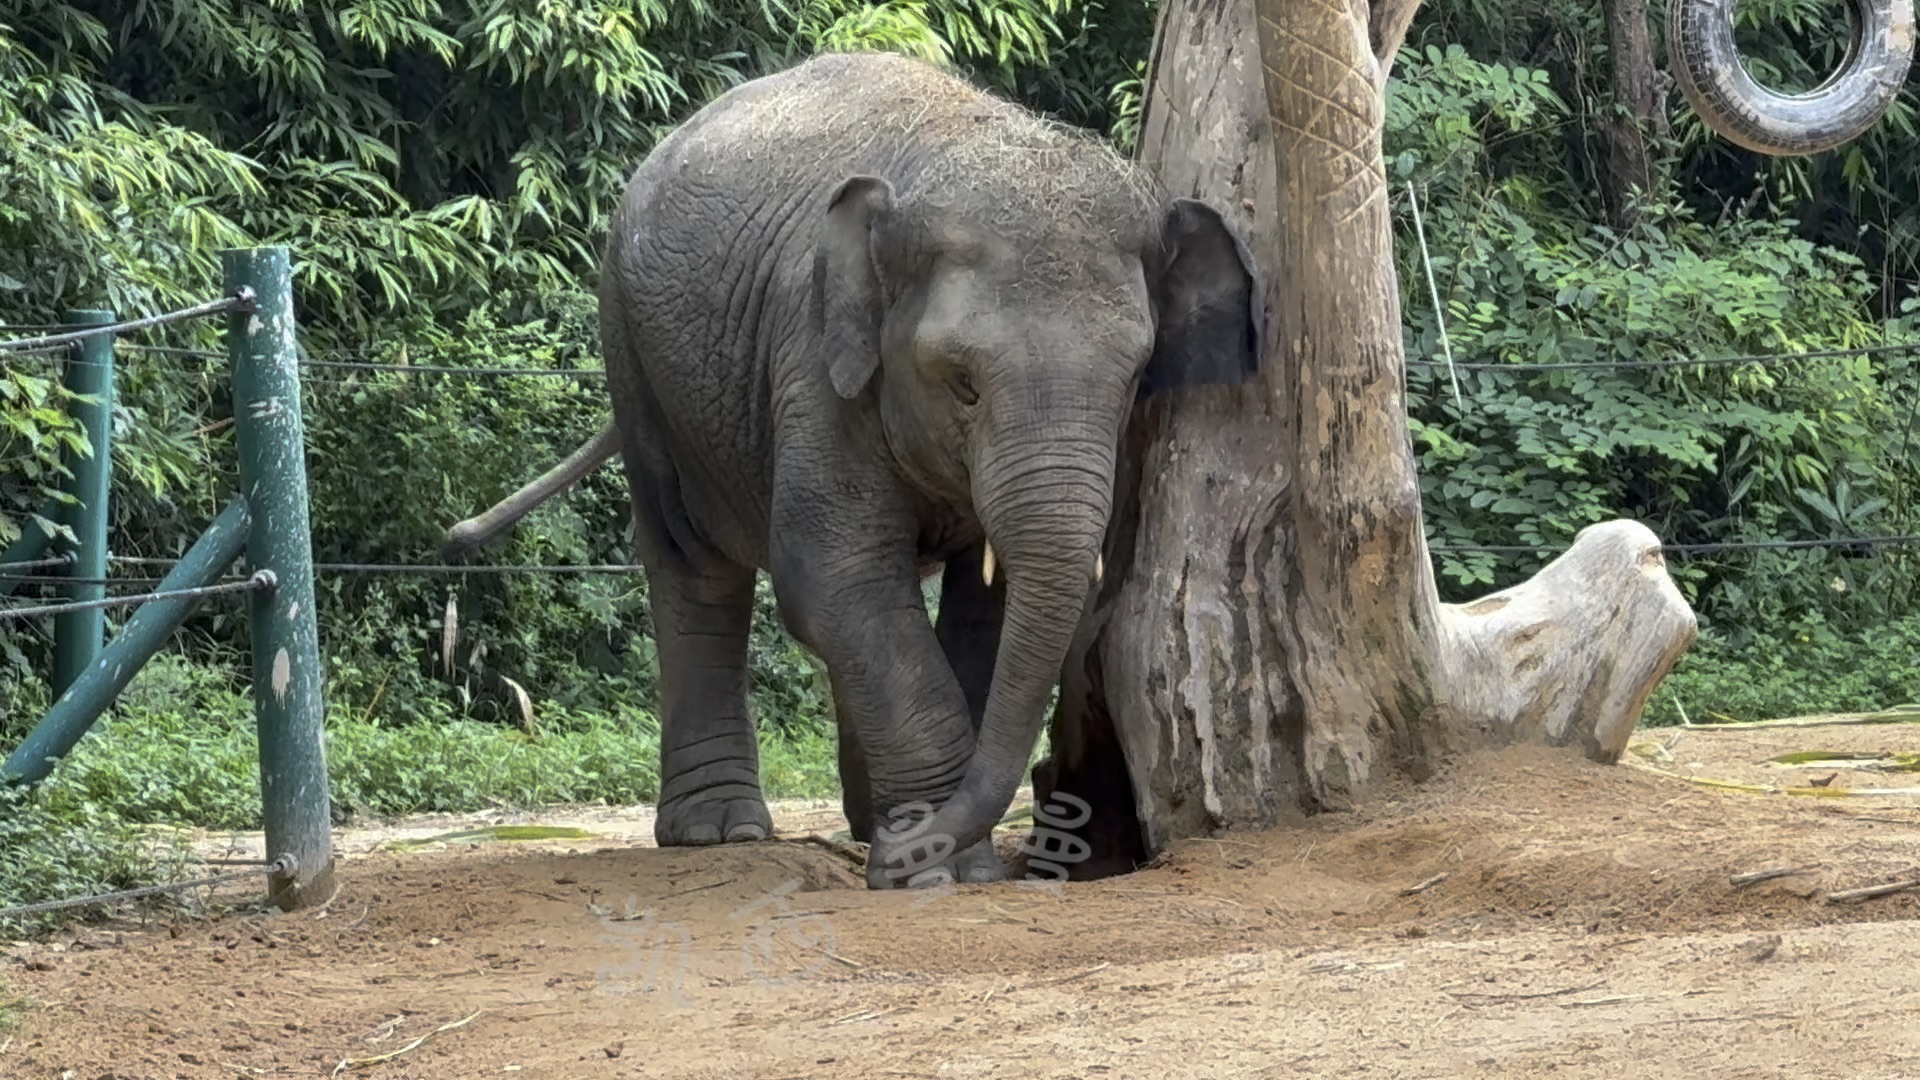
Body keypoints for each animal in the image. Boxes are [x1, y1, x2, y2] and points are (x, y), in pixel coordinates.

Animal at [441, 50, 1267, 887]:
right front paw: (934, 871)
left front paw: (935, 856)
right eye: (962, 382)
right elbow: (837, 575)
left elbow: (979, 606)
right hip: (634, 358)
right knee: (692, 564)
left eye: (1134, 379)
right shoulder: (813, 362)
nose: (891, 866)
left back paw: (863, 822)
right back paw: (720, 832)